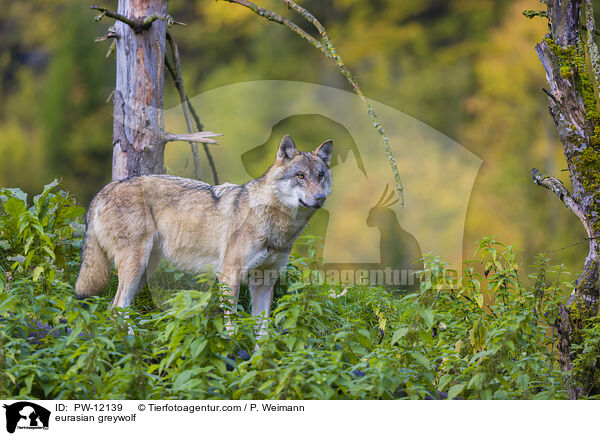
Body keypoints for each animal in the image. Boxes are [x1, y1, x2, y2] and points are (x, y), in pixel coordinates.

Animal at [75, 136, 332, 324]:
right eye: (300, 176)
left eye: (320, 176)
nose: (320, 198)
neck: (274, 225)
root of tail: (106, 189)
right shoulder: (230, 275)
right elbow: (231, 324)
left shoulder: (265, 280)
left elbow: (263, 329)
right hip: (135, 267)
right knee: (118, 307)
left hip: (145, 270)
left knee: (115, 308)